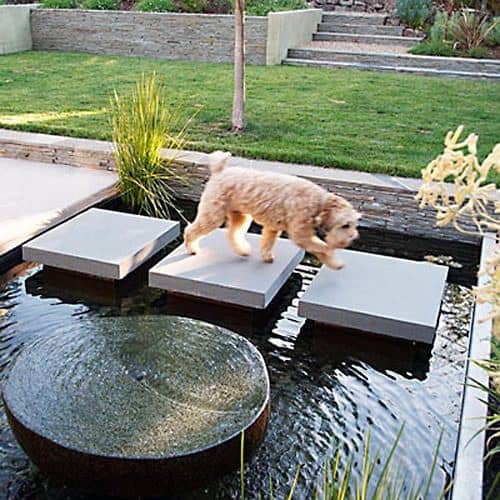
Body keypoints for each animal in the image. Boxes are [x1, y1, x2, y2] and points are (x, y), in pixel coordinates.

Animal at [184, 152, 360, 270]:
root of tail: (219, 171)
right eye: (345, 225)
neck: (318, 203)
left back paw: (242, 250)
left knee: (233, 234)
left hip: (240, 216)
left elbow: (267, 243)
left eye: (354, 224)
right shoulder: (301, 235)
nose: (353, 238)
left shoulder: (273, 227)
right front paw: (335, 261)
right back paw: (192, 248)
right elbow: (322, 248)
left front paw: (266, 257)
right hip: (213, 216)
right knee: (191, 230)